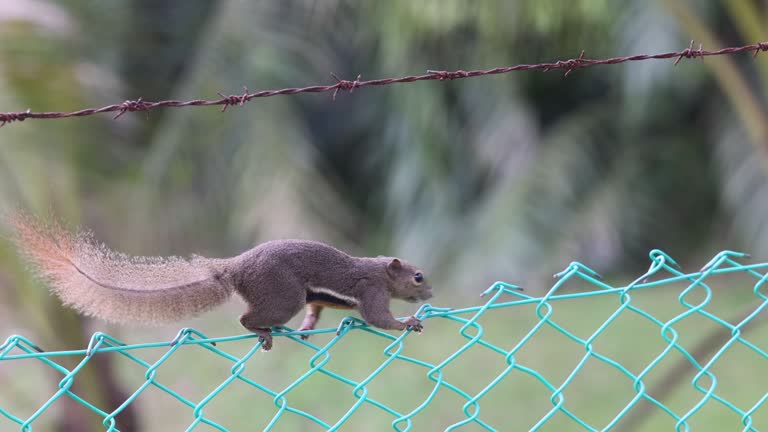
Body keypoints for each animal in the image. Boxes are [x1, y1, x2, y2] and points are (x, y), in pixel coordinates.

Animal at [10, 213, 432, 352]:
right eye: (417, 276)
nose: (431, 293)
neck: (381, 269)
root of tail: (235, 268)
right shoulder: (371, 289)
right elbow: (378, 318)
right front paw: (407, 322)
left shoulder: (320, 298)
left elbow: (316, 308)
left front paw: (309, 328)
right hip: (283, 294)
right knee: (247, 318)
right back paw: (261, 332)